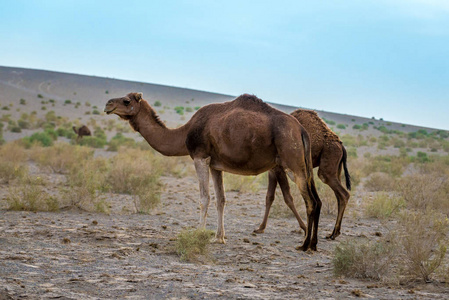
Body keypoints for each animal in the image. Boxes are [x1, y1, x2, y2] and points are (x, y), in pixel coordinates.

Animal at [104, 92, 322, 251]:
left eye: (126, 101)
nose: (108, 104)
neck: (184, 132)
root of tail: (302, 131)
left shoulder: (200, 157)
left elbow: (204, 198)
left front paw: (198, 234)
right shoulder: (216, 165)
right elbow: (221, 199)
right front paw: (219, 238)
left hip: (293, 162)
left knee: (310, 201)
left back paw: (304, 245)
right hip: (302, 165)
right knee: (317, 200)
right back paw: (313, 244)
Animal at [254, 109, 352, 240]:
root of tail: (341, 145)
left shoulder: (279, 169)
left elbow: (287, 197)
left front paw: (304, 228)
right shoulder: (273, 170)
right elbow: (269, 197)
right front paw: (261, 228)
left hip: (327, 166)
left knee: (343, 193)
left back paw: (333, 233)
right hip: (336, 169)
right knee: (339, 195)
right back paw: (333, 233)